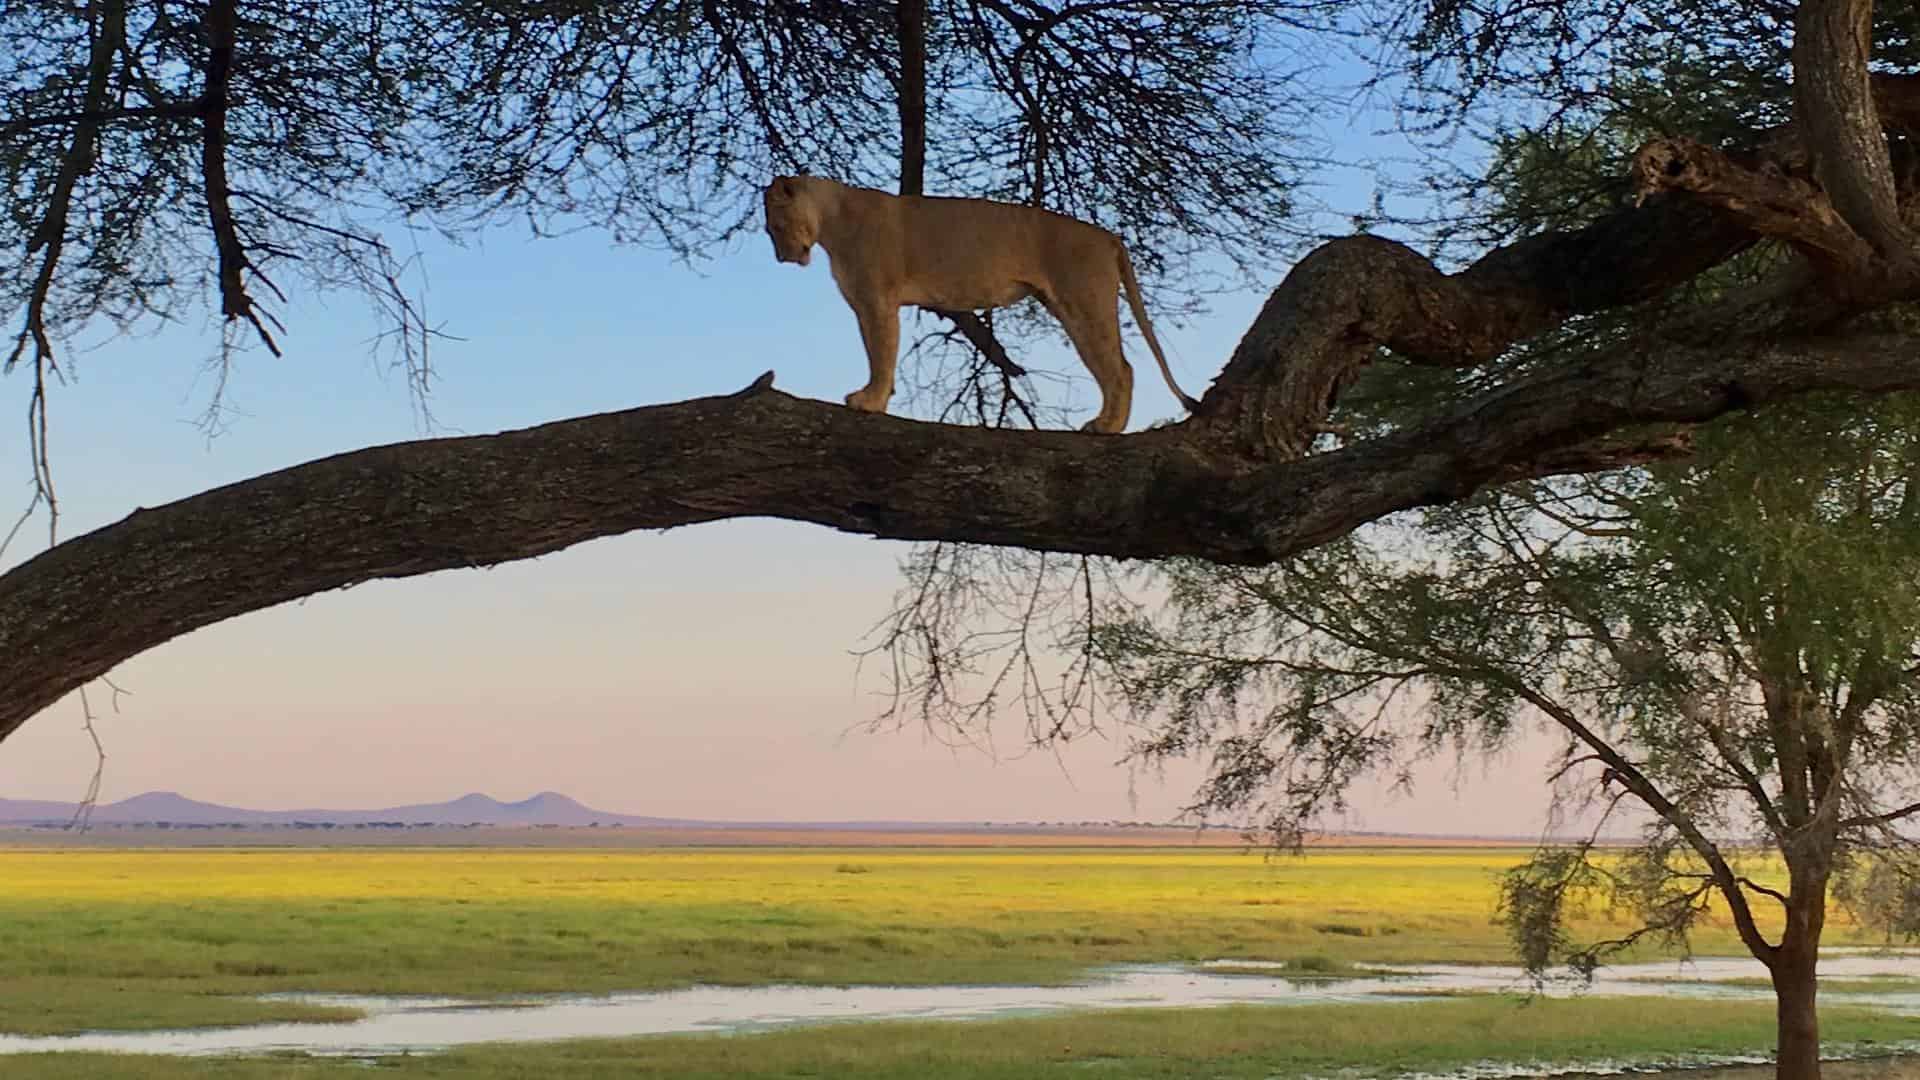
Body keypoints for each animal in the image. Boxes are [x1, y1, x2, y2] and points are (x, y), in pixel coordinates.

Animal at [762, 175, 1199, 434]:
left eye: (775, 226)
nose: (781, 257)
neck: (832, 216)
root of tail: (1109, 236)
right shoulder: (868, 304)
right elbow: (877, 352)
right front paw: (876, 398)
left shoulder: (876, 300)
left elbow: (881, 353)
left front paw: (870, 402)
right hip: (1069, 308)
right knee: (1109, 368)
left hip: (1084, 299)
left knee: (1121, 369)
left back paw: (1107, 427)